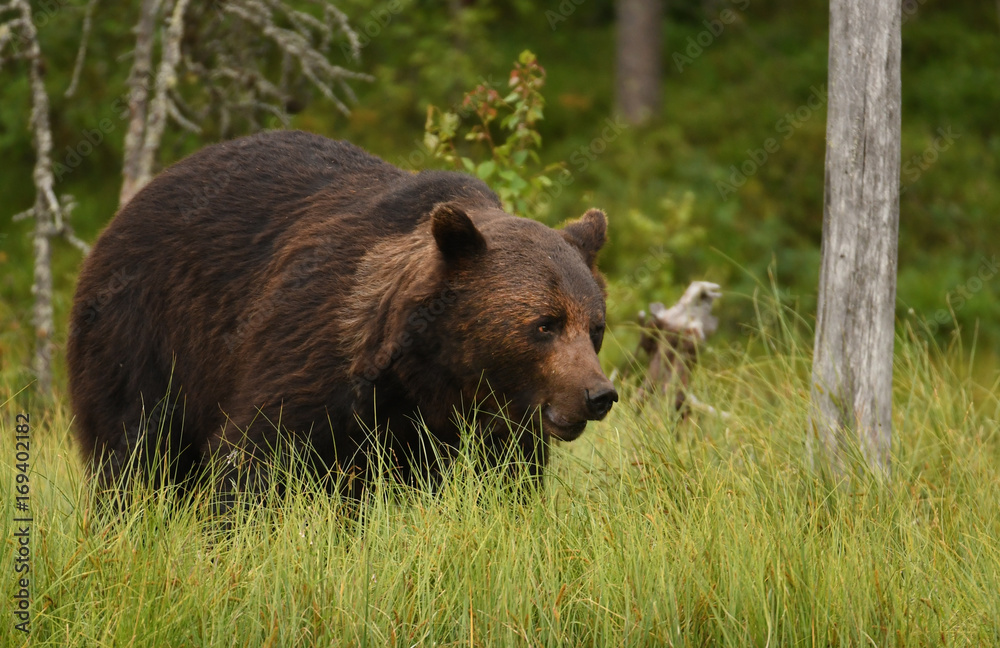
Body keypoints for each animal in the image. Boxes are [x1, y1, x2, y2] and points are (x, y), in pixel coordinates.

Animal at [67, 130, 617, 507]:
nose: (598, 394)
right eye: (545, 324)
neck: (427, 374)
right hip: (143, 334)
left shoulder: (490, 430)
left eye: (595, 328)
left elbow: (504, 484)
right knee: (136, 449)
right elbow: (258, 462)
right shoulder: (311, 354)